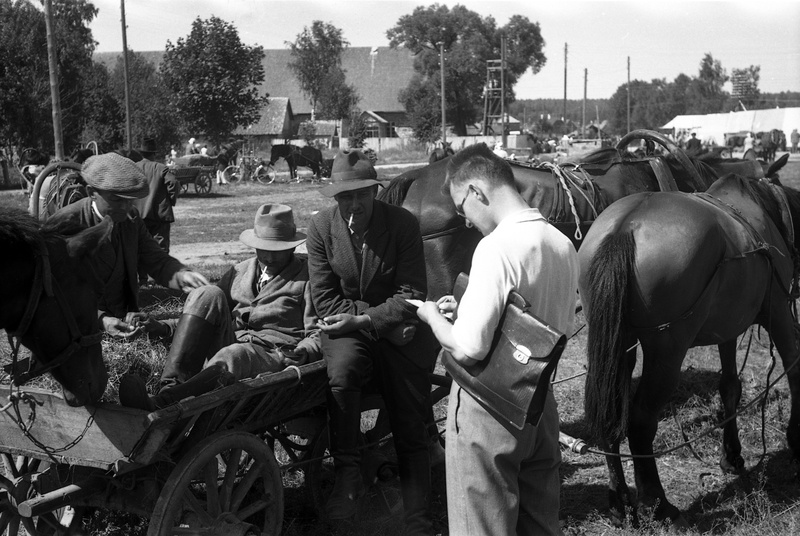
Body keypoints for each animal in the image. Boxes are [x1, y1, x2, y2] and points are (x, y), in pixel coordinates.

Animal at [580, 174, 800, 524]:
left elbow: (730, 386)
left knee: (610, 411)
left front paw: (732, 455)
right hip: (667, 353)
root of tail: (625, 227)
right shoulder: (777, 312)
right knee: (641, 421)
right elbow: (793, 368)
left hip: (616, 347)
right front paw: (795, 439)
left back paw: (620, 503)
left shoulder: (727, 327)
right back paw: (657, 503)